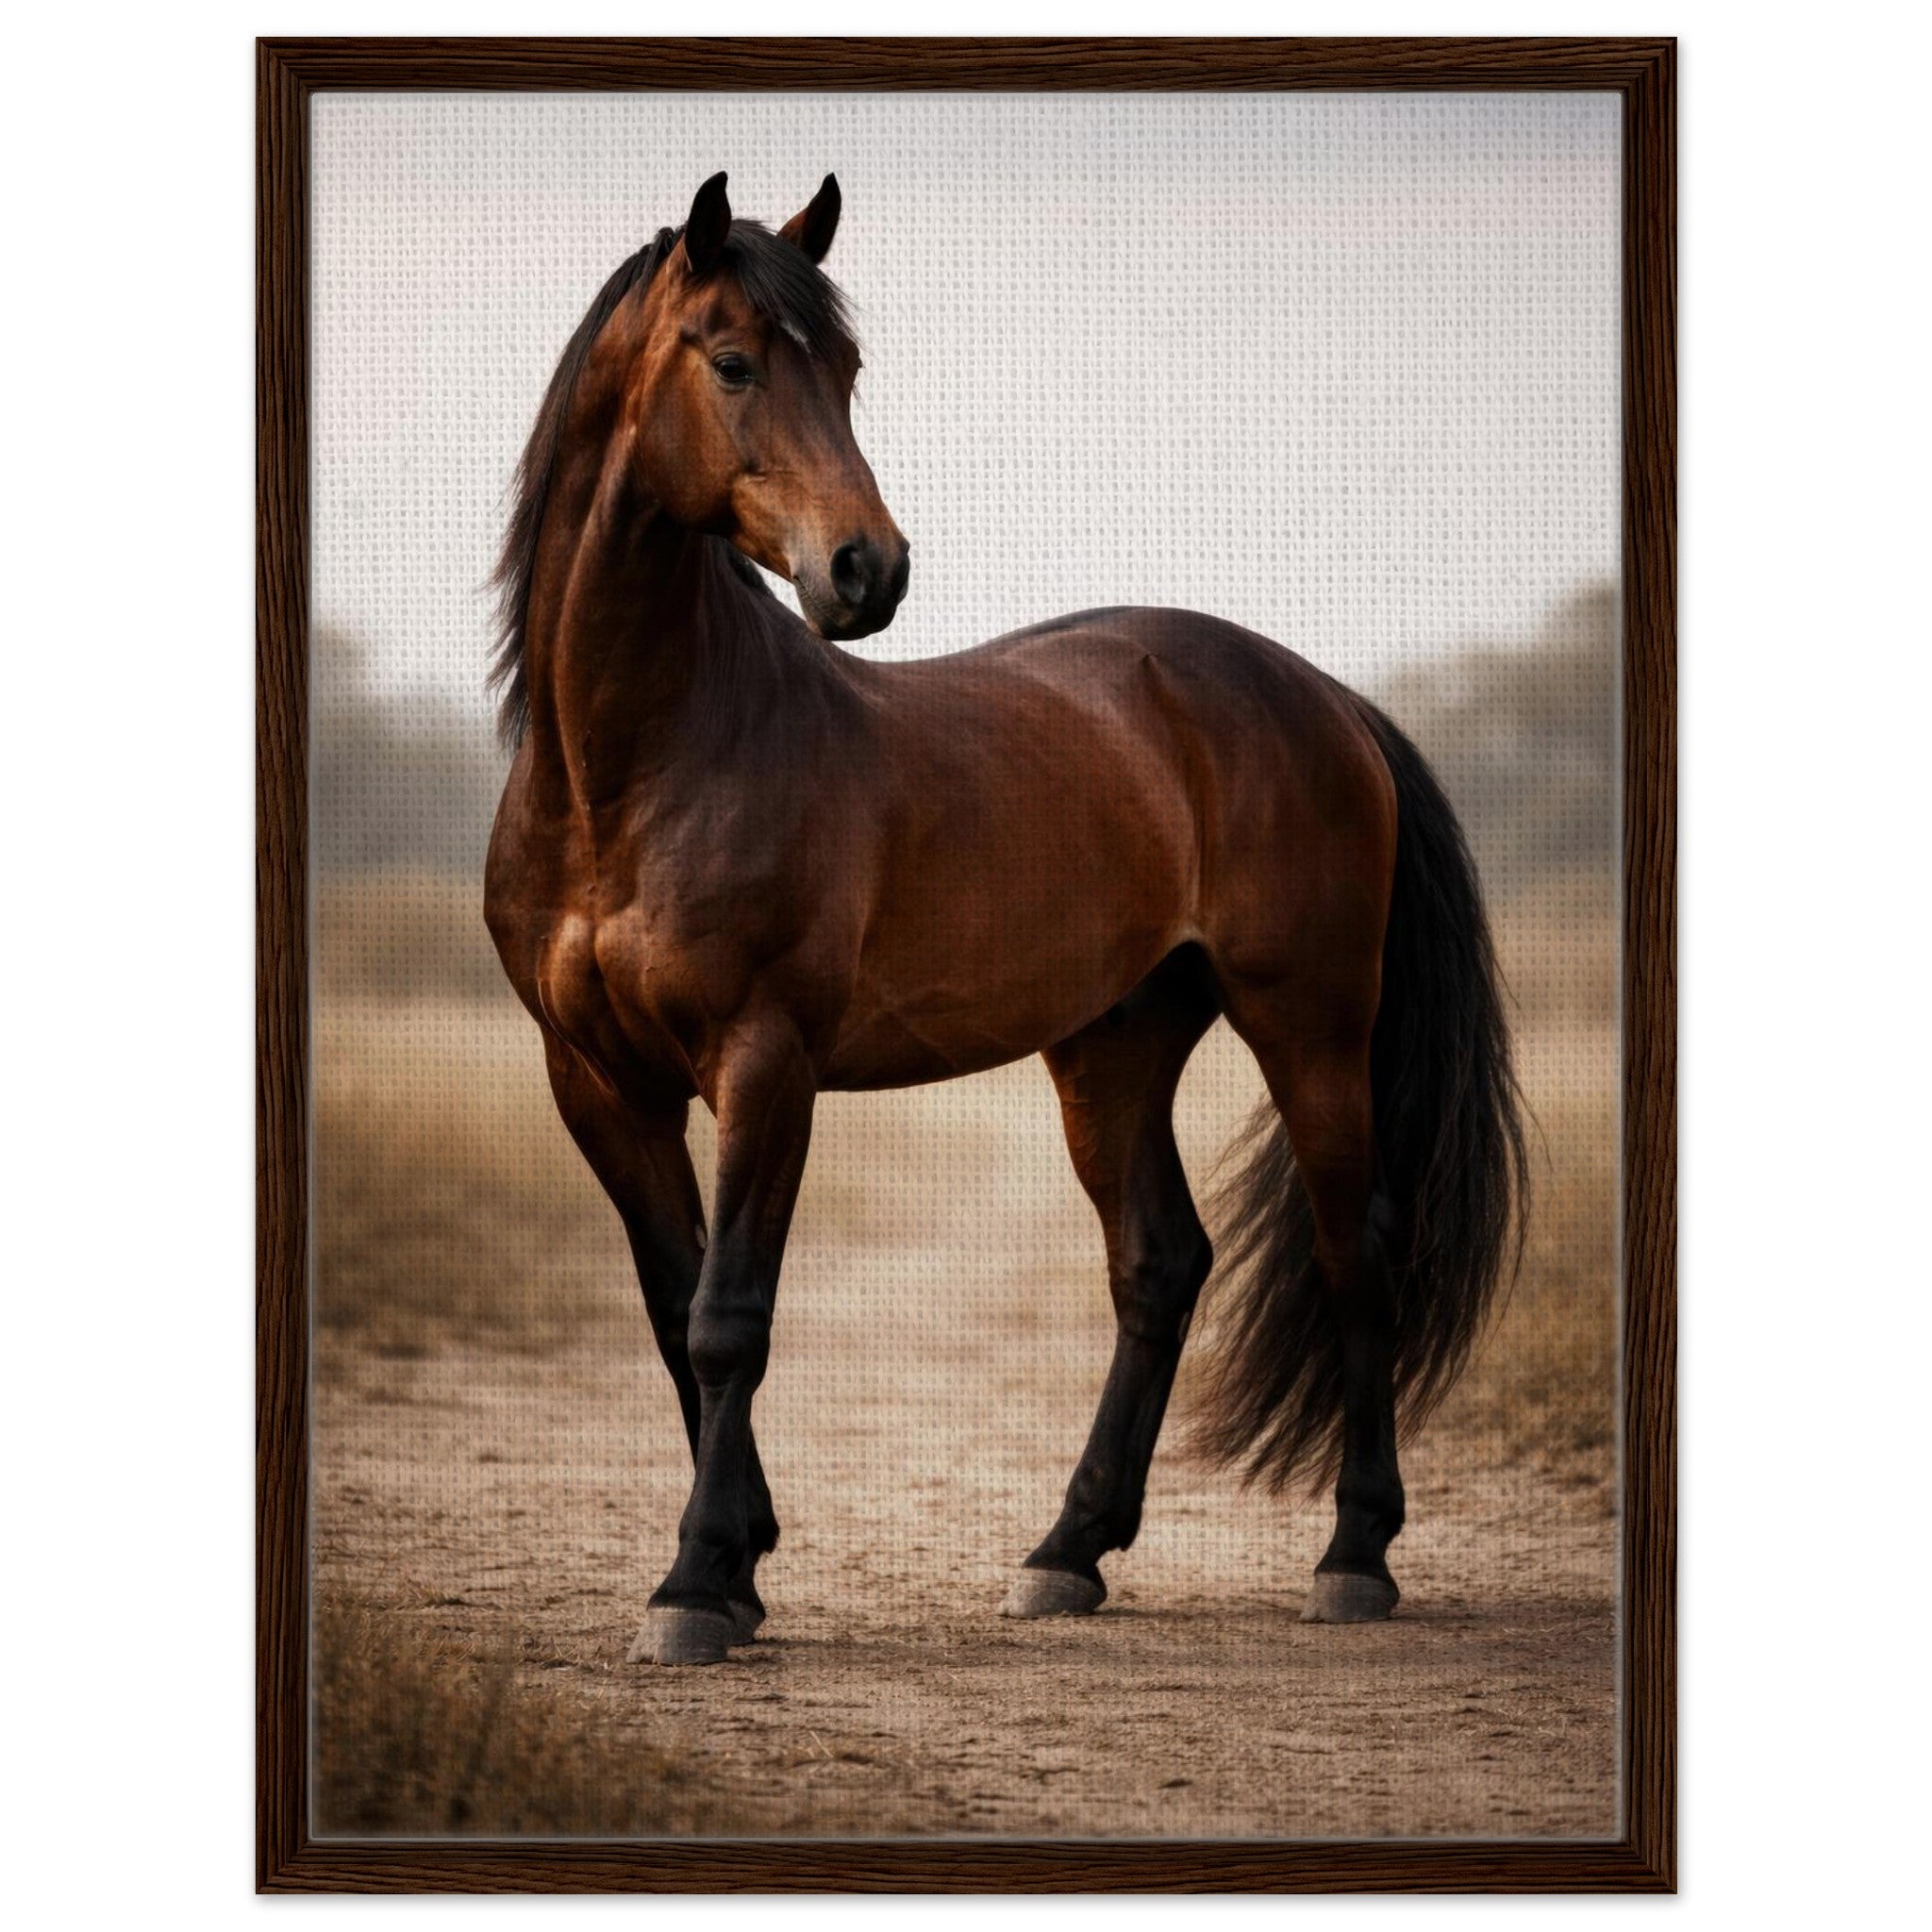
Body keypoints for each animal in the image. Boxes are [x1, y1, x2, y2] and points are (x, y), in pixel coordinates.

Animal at [484, 172, 1526, 1667]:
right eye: (732, 361)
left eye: (846, 368)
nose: (867, 571)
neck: (635, 767)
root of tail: (1322, 694)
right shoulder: (597, 1083)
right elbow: (675, 1313)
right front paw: (735, 1567)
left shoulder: (764, 1062)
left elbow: (731, 1316)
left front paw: (691, 1585)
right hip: (1113, 1046)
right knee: (1159, 1265)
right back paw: (1064, 1552)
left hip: (1309, 1029)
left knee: (1356, 1253)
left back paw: (1353, 1556)